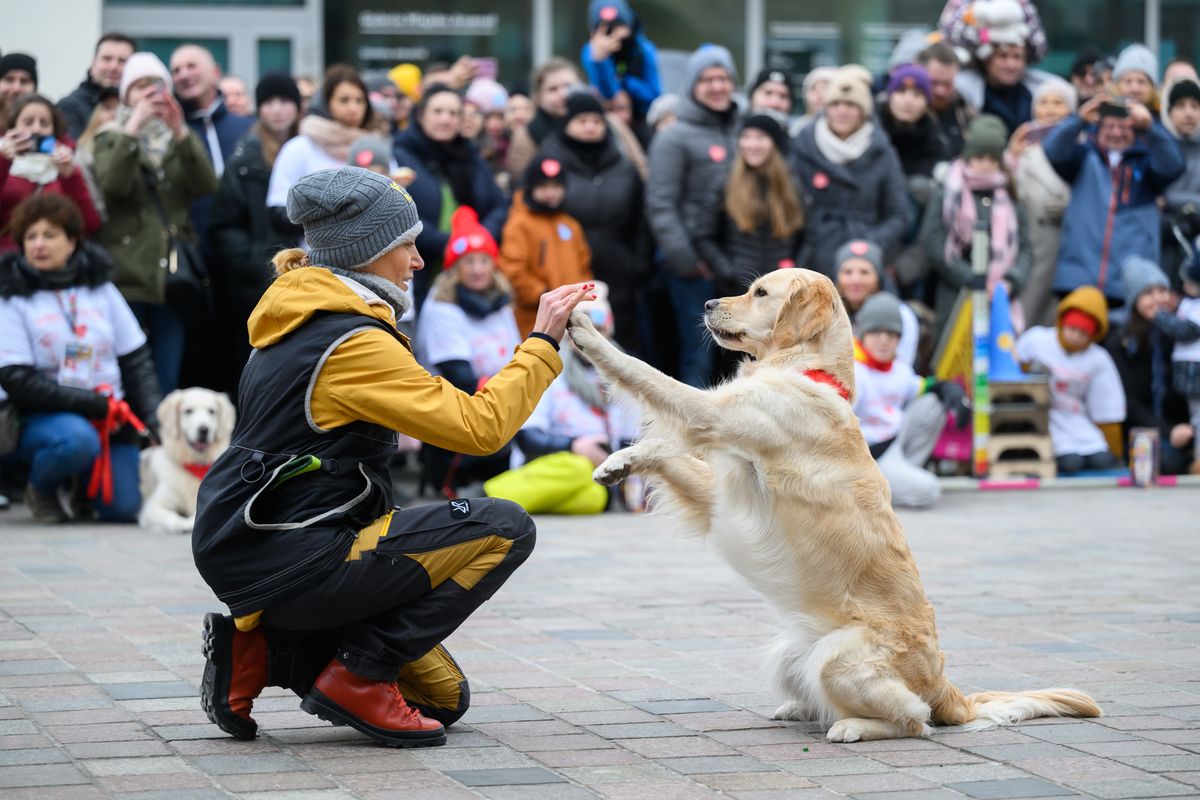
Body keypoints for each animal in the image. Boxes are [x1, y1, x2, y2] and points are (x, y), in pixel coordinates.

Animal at [139, 386, 235, 532]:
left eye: (212, 411)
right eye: (188, 411)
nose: (204, 429)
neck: (195, 464)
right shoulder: (153, 506)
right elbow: (171, 516)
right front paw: (183, 524)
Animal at [566, 271, 1099, 743]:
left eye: (760, 292)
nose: (707, 304)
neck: (810, 372)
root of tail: (950, 692)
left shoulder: (714, 415)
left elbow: (647, 374)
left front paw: (584, 330)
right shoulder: (719, 490)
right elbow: (670, 450)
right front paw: (618, 463)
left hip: (837, 657)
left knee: (914, 720)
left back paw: (852, 727)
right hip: (790, 651)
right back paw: (798, 708)